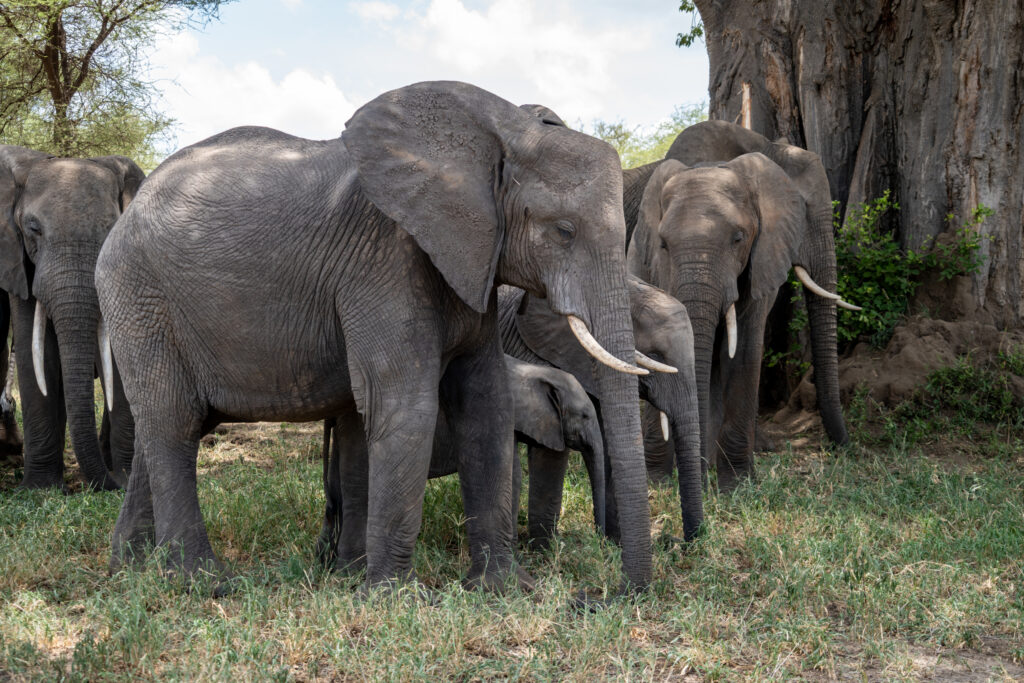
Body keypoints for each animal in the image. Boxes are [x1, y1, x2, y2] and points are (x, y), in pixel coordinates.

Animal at [0, 147, 141, 491]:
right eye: (33, 228)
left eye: (110, 230)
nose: (111, 484)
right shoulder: (18, 259)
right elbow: (35, 354)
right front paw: (40, 489)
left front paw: (124, 478)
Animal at [626, 151, 860, 489]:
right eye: (664, 245)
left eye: (738, 239)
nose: (844, 446)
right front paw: (659, 481)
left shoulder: (761, 259)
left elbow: (745, 351)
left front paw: (736, 485)